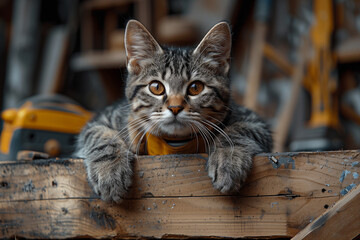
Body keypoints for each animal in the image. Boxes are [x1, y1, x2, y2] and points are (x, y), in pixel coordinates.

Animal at [76, 19, 272, 202]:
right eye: (156, 87)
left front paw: (228, 158)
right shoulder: (105, 118)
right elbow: (100, 135)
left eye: (195, 88)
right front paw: (109, 170)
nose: (175, 107)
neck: (174, 145)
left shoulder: (253, 119)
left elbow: (239, 129)